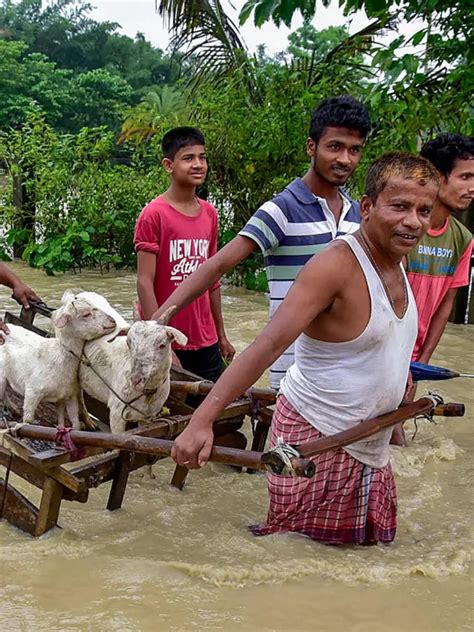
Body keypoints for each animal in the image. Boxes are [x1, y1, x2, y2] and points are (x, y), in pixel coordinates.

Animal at [0, 292, 115, 430]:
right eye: (86, 314)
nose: (113, 321)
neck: (60, 354)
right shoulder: (33, 391)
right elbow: (28, 419)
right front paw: (22, 426)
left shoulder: (67, 396)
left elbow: (72, 421)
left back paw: (14, 409)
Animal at [76, 292, 187, 434]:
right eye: (128, 342)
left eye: (162, 345)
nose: (135, 379)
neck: (147, 393)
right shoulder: (116, 413)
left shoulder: (147, 417)